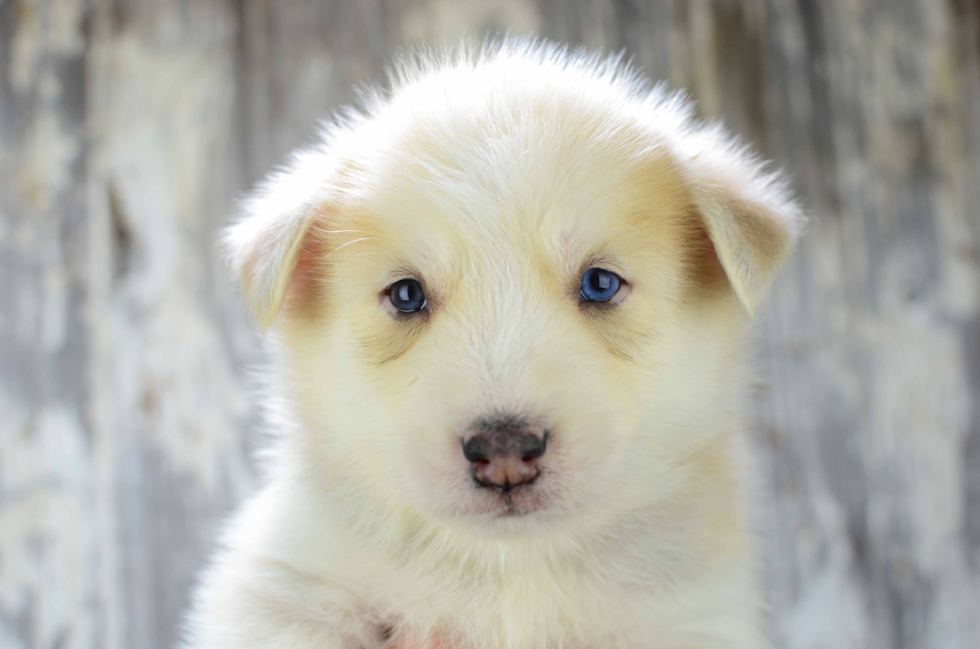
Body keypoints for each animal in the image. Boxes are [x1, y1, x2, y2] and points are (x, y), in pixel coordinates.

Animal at [186, 40, 804, 648]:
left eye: (600, 284)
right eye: (406, 294)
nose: (504, 451)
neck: (510, 569)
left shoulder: (690, 617)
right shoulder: (291, 586)